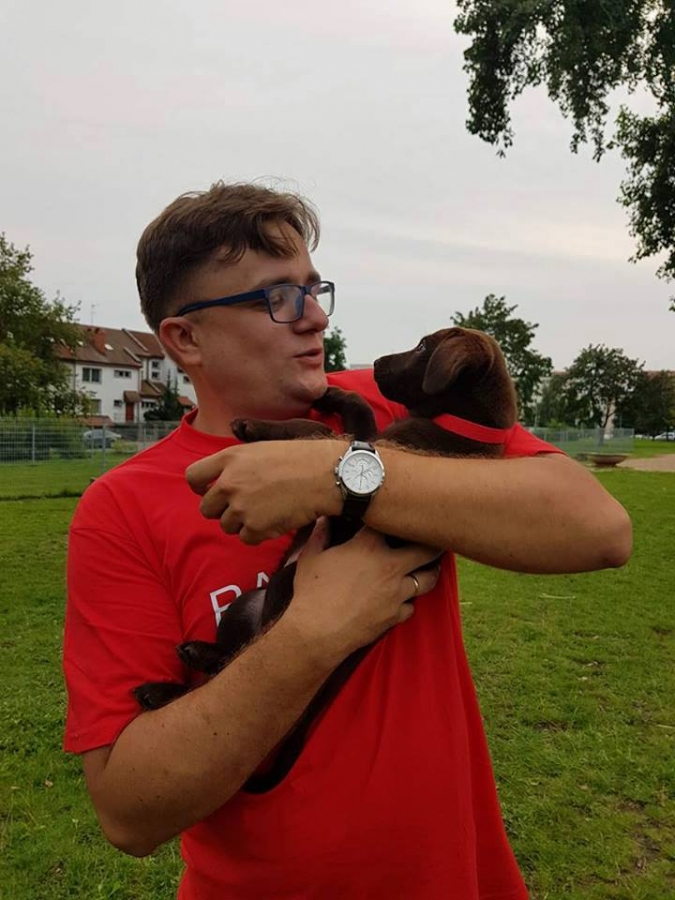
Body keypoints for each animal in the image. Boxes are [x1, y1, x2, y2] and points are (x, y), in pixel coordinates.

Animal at [134, 327, 518, 791]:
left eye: (424, 346)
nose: (375, 365)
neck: (462, 426)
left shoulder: (369, 473)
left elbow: (320, 433)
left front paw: (254, 426)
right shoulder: (370, 443)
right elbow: (351, 420)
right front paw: (333, 394)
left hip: (288, 587)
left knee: (250, 666)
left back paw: (165, 687)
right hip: (245, 603)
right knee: (233, 656)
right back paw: (188, 663)